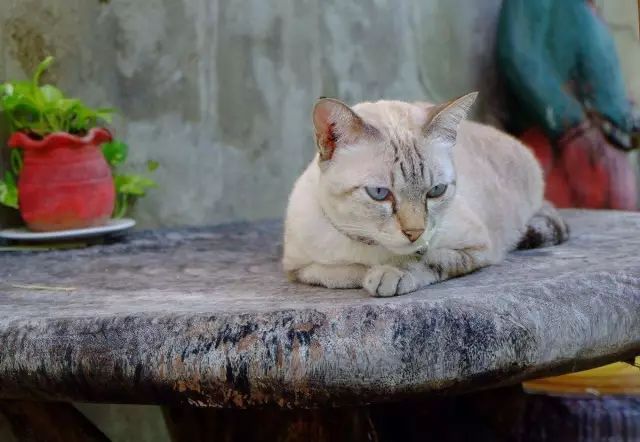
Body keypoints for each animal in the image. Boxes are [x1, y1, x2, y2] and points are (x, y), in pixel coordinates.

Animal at [282, 93, 568, 296]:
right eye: (379, 193)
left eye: (436, 191)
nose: (415, 232)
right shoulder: (298, 268)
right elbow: (341, 272)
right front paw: (370, 273)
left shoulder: (477, 249)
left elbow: (429, 259)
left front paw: (390, 274)